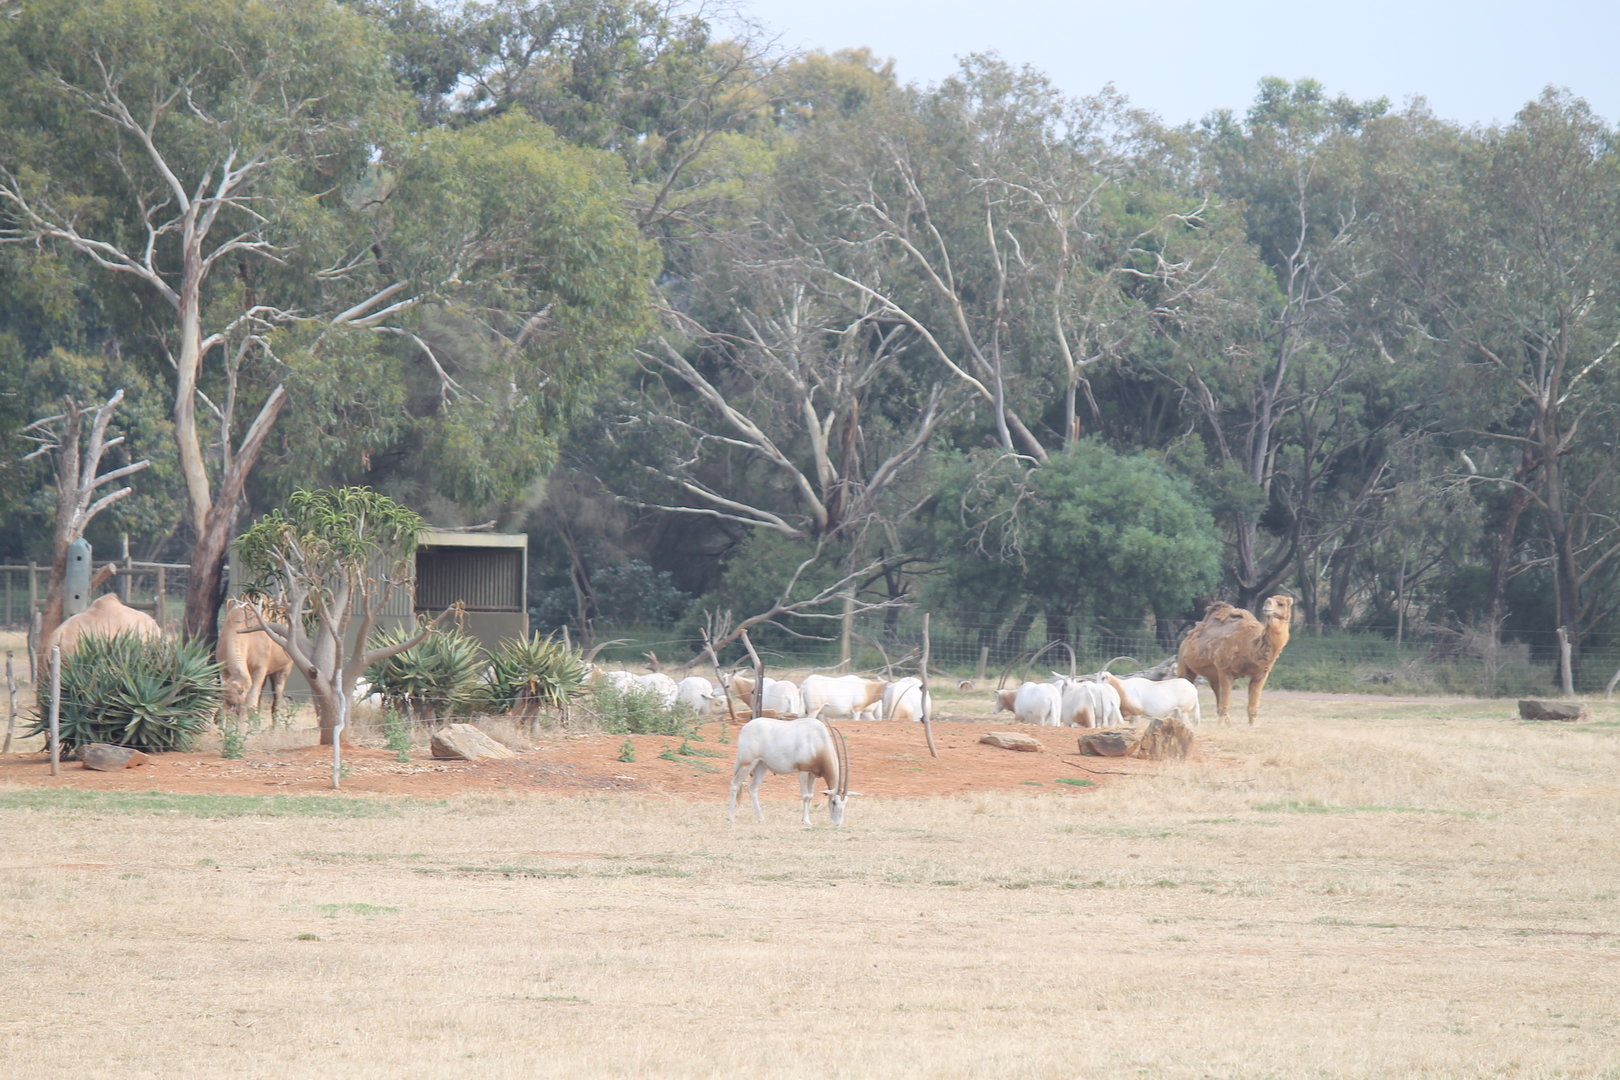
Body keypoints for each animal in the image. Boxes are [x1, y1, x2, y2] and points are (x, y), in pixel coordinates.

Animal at [217, 597, 294, 725]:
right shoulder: (224, 670)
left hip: (284, 669)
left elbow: (250, 704)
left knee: (276, 699)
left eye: (240, 692)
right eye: (226, 697)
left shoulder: (260, 668)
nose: (215, 719)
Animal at [1176, 595, 1294, 725]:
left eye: (1281, 604)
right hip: (1184, 664)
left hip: (1213, 676)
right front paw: (1219, 728)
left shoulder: (1261, 673)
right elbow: (1224, 706)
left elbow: (1252, 708)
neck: (1252, 648)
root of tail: (1187, 638)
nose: (1267, 605)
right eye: (1268, 601)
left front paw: (1251, 727)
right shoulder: (1225, 670)